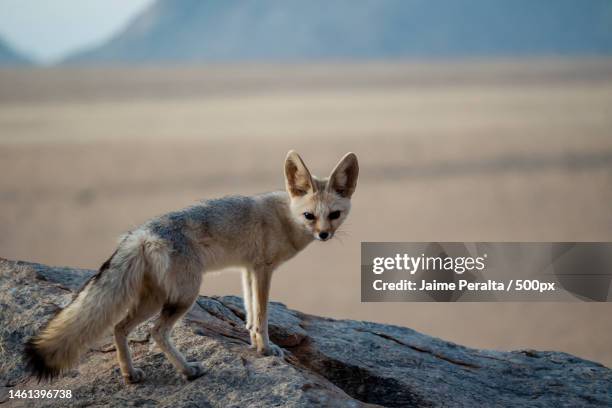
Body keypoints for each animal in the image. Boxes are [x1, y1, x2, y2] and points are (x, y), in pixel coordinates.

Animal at [23, 151, 358, 384]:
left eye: (334, 215)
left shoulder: (248, 269)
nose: (324, 235)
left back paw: (130, 374)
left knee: (119, 327)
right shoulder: (263, 269)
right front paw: (266, 348)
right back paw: (187, 370)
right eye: (309, 216)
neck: (285, 217)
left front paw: (254, 342)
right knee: (157, 333)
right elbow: (262, 315)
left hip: (154, 298)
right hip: (184, 296)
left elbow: (250, 313)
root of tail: (141, 233)